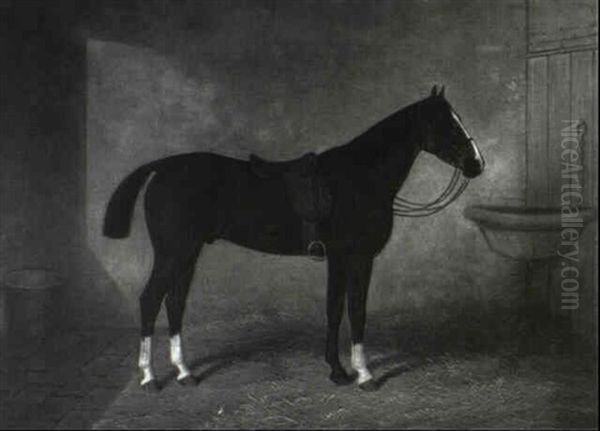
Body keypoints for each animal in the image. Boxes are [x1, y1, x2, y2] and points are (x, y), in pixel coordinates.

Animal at [103, 86, 486, 394]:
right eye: (445, 123)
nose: (477, 164)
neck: (359, 178)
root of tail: (163, 167)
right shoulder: (355, 258)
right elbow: (355, 311)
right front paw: (363, 374)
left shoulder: (343, 260)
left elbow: (336, 310)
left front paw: (338, 370)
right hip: (174, 252)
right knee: (150, 301)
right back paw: (149, 378)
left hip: (187, 253)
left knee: (175, 302)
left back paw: (184, 372)